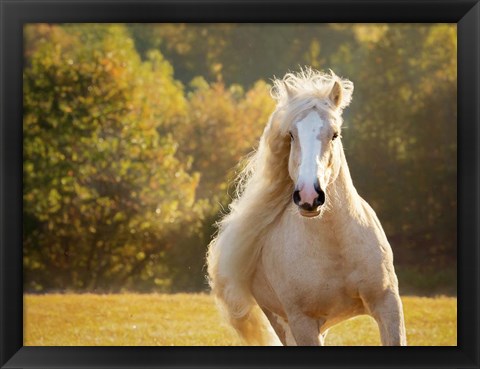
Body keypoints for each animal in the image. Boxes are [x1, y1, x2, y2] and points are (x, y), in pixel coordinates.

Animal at [208, 68, 406, 344]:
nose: (309, 195)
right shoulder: (302, 322)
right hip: (283, 323)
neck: (336, 247)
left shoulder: (388, 305)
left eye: (335, 134)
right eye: (291, 135)